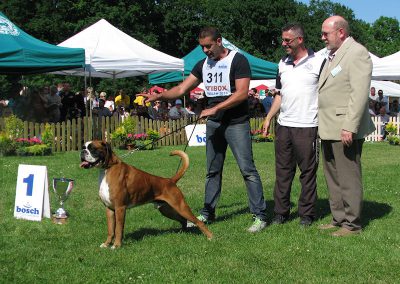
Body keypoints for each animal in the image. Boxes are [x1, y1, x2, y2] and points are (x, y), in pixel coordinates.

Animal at [79, 140, 214, 248]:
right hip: (167, 210)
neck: (107, 168)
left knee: (198, 222)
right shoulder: (109, 209)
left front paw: (116, 246)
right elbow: (110, 230)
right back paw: (183, 232)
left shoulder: (120, 208)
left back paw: (210, 237)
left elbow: (118, 229)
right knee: (182, 219)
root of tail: (170, 181)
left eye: (93, 148)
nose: (82, 151)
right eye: (84, 146)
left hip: (181, 206)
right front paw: (107, 244)